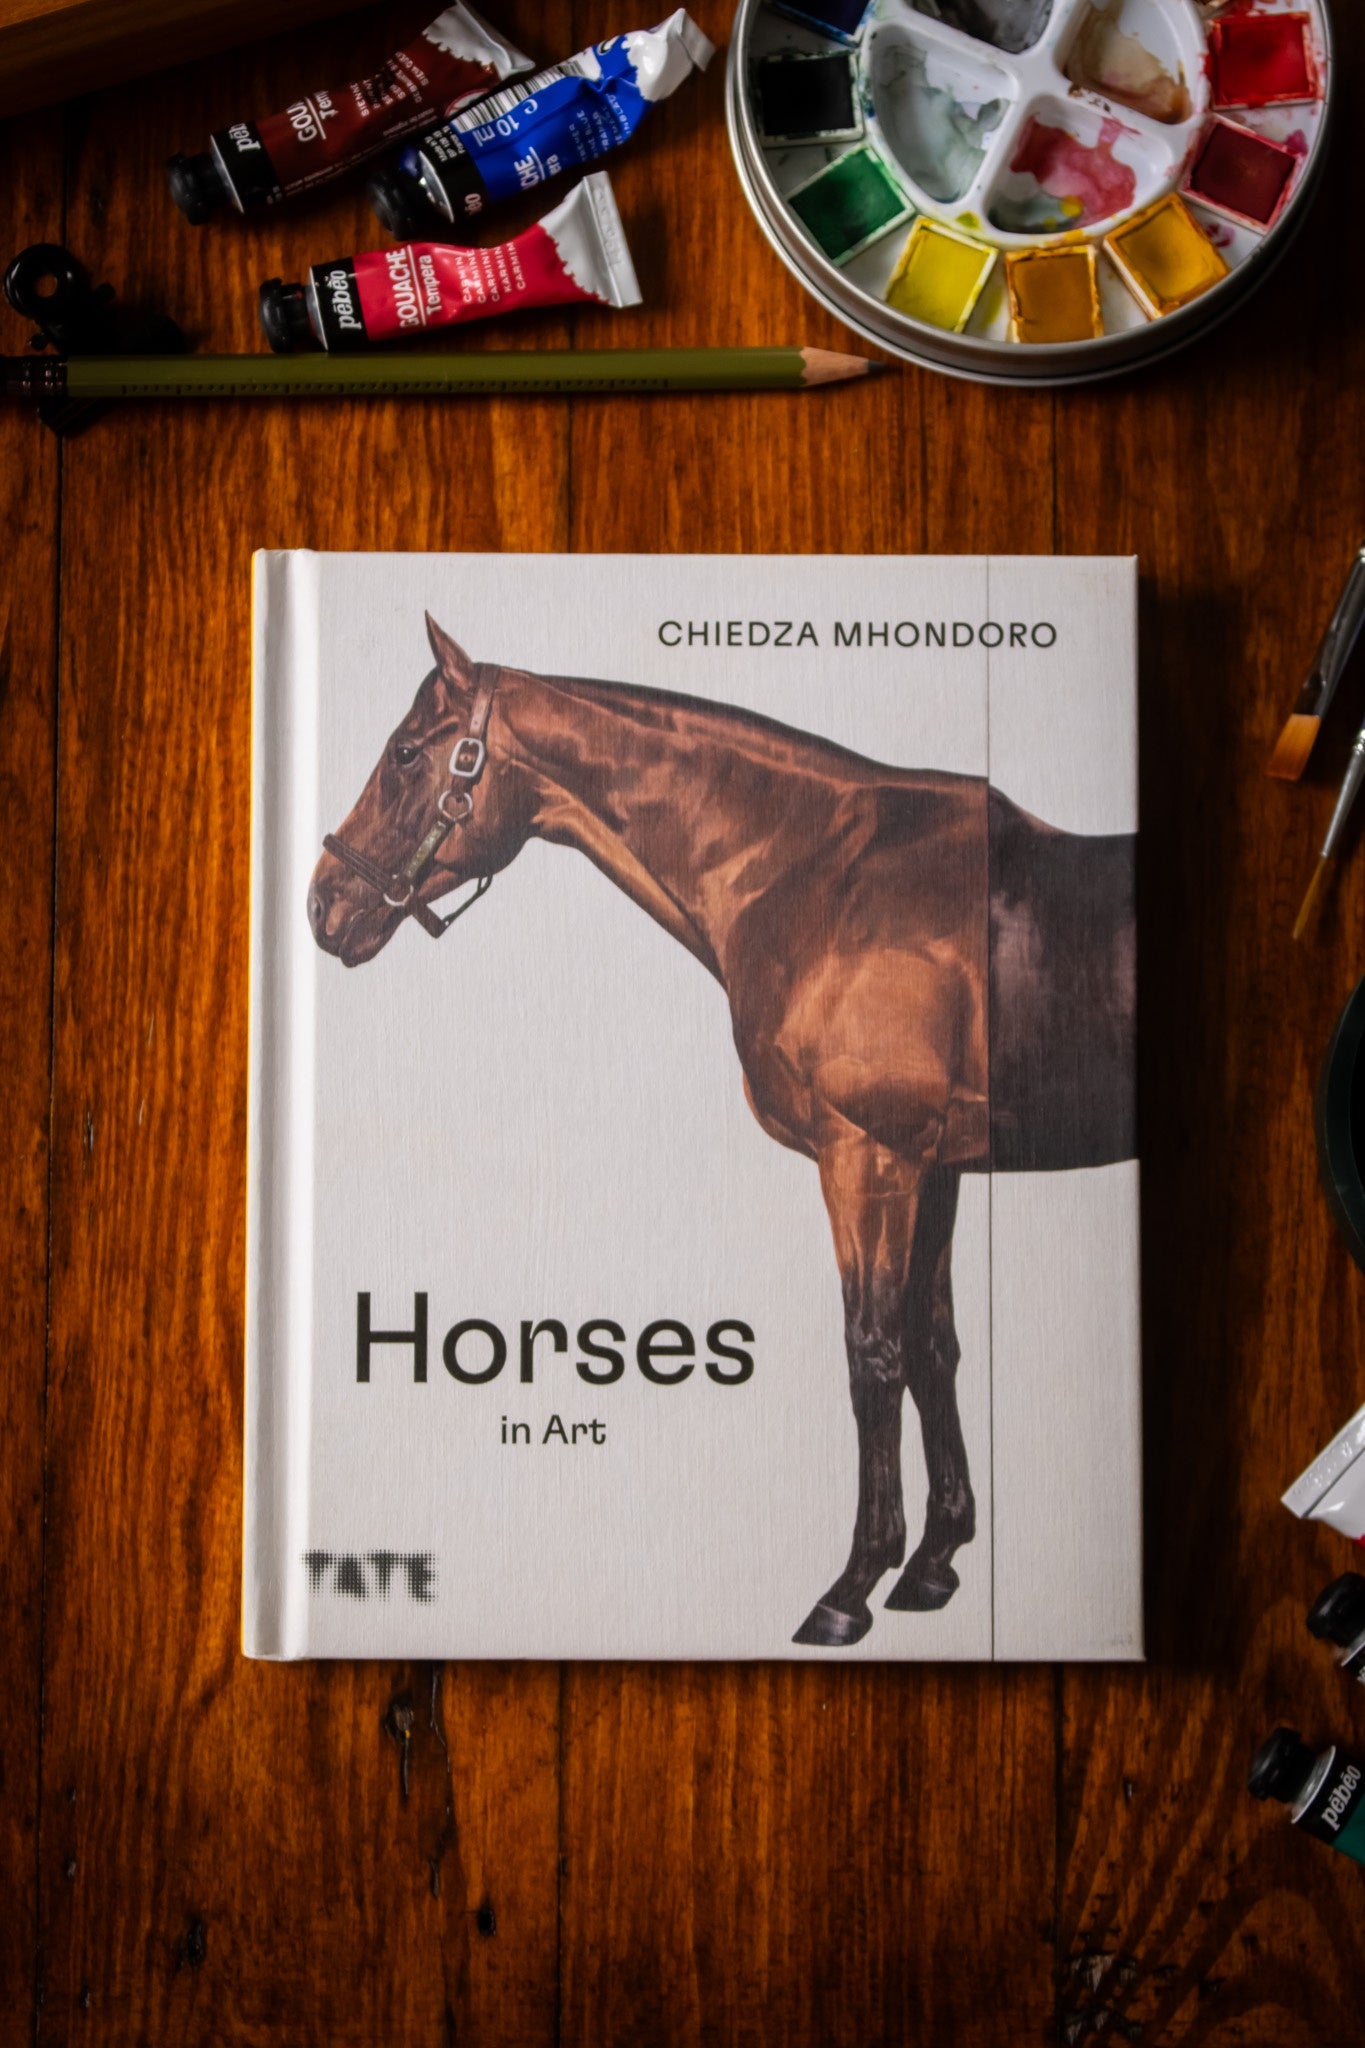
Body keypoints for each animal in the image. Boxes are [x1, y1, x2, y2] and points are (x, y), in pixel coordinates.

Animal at [308, 614, 1136, 1649]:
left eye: (407, 754)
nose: (323, 905)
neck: (820, 875)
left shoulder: (868, 1158)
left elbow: (873, 1354)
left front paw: (851, 1587)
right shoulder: (934, 1166)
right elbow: (933, 1345)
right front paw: (934, 1562)